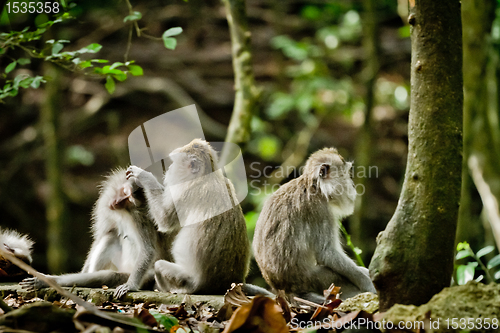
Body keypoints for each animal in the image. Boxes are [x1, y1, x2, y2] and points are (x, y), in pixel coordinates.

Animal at [21, 167, 178, 296]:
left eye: (128, 198)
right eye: (124, 192)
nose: (116, 202)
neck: (124, 212)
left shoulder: (141, 219)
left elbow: (148, 249)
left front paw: (130, 285)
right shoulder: (107, 206)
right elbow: (100, 237)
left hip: (146, 274)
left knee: (110, 275)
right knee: (110, 236)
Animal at [125, 137, 250, 294]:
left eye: (175, 161)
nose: (169, 169)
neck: (206, 176)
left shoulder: (185, 192)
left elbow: (164, 220)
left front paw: (143, 176)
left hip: (188, 282)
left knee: (159, 265)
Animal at [254, 147, 376, 302]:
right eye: (348, 174)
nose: (353, 186)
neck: (315, 187)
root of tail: (286, 292)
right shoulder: (320, 211)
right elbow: (326, 253)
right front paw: (368, 283)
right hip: (319, 279)